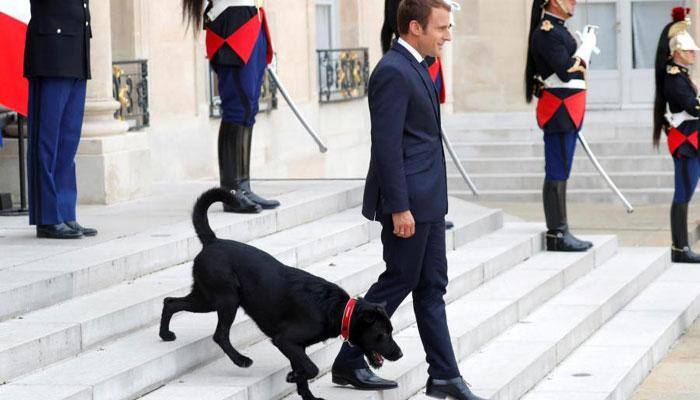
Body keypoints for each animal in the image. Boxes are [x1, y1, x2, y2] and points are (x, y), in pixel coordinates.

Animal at [157, 188, 400, 400]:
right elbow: (311, 368)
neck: (338, 310)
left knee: (170, 302)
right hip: (224, 299)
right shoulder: (285, 340)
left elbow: (304, 372)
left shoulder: (296, 346)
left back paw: (165, 334)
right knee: (219, 334)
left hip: (205, 297)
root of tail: (213, 241)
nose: (400, 354)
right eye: (383, 334)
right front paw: (293, 377)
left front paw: (307, 394)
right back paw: (240, 360)